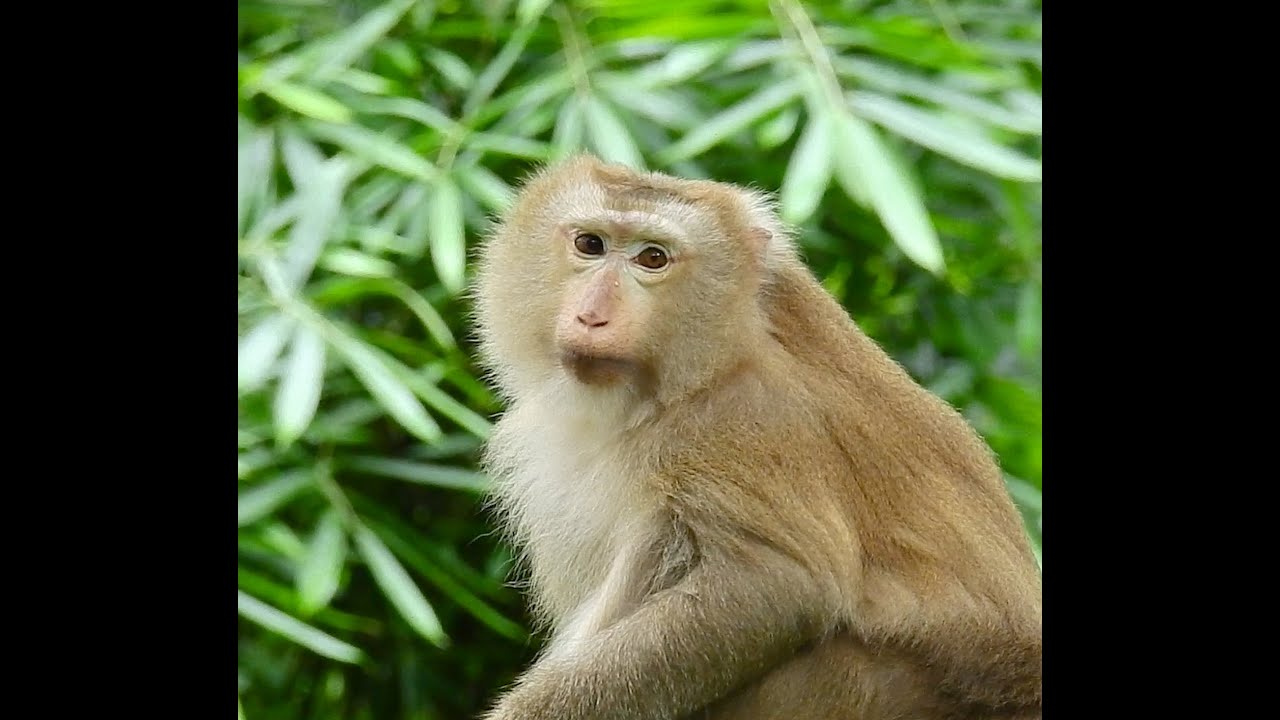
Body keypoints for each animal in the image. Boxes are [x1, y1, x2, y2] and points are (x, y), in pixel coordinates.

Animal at [470, 154, 1042, 720]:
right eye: (590, 245)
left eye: (653, 258)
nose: (593, 315)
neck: (701, 368)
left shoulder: (748, 418)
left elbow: (776, 588)